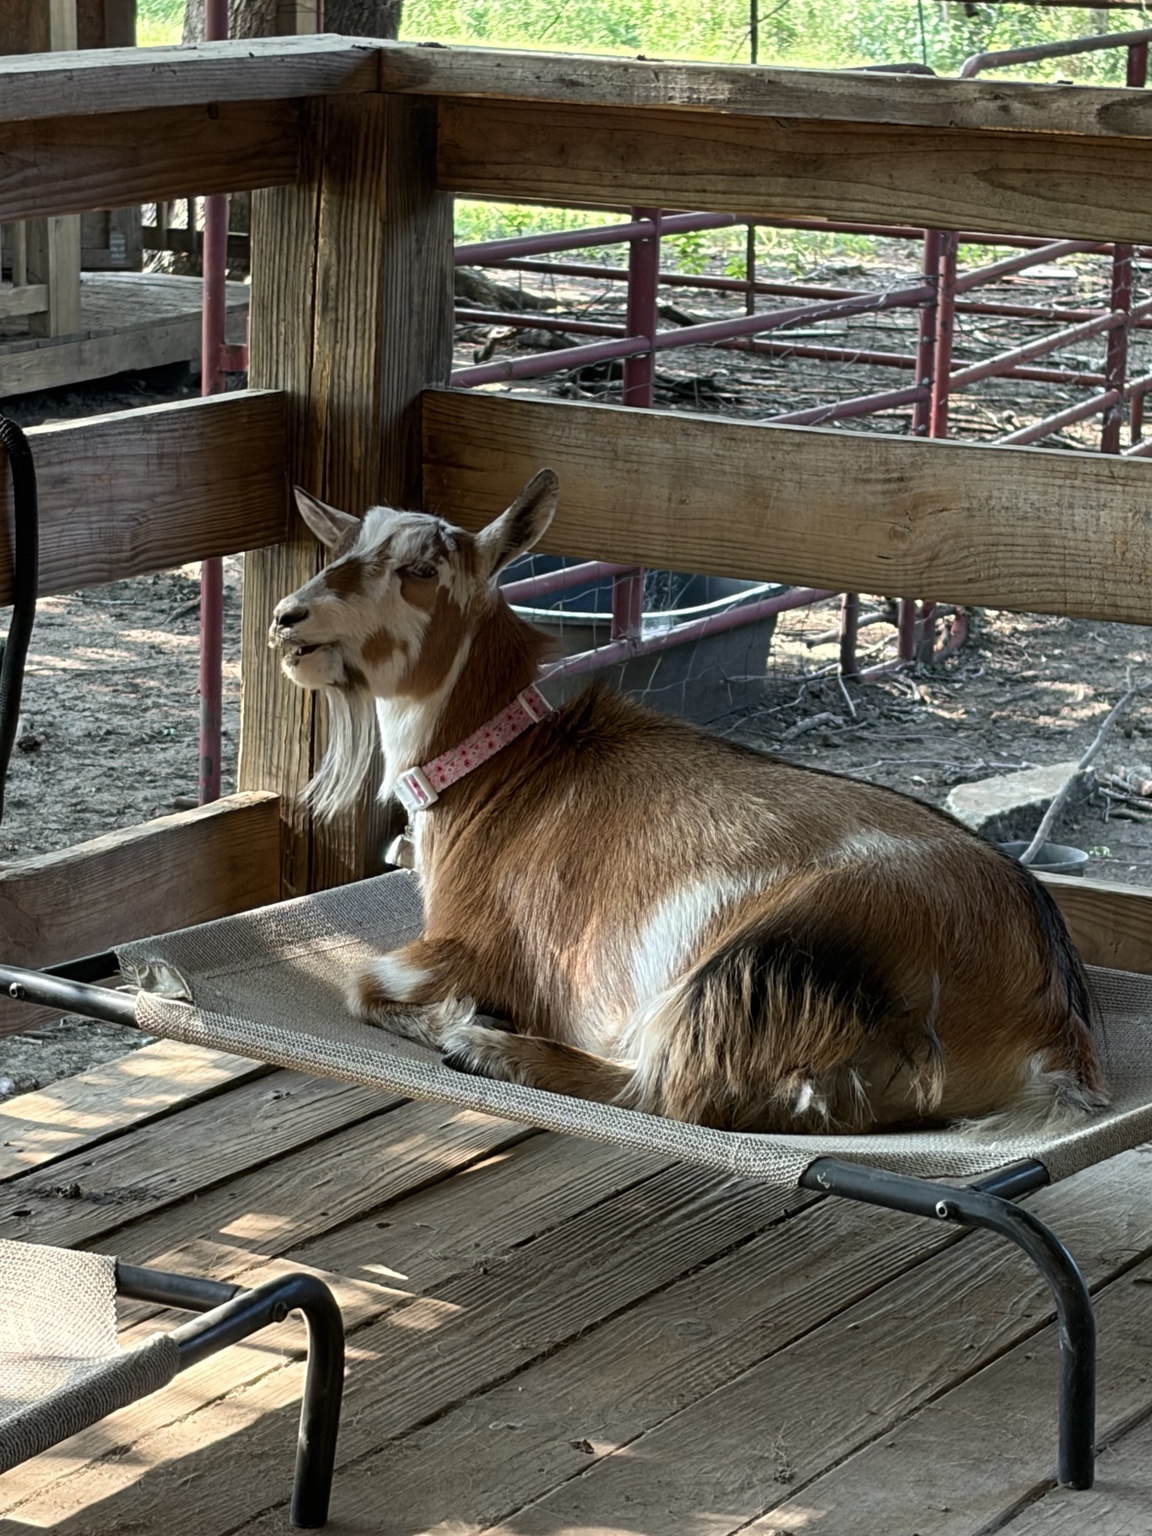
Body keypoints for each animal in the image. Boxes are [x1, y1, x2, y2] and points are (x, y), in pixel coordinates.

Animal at [269, 470, 1107, 1135]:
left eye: (418, 567)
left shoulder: (473, 946)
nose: (287, 618)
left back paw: (487, 1048)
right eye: (338, 551)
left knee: (668, 1091)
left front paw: (462, 1018)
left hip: (750, 964)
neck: (503, 777)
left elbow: (361, 983)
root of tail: (1052, 1025)